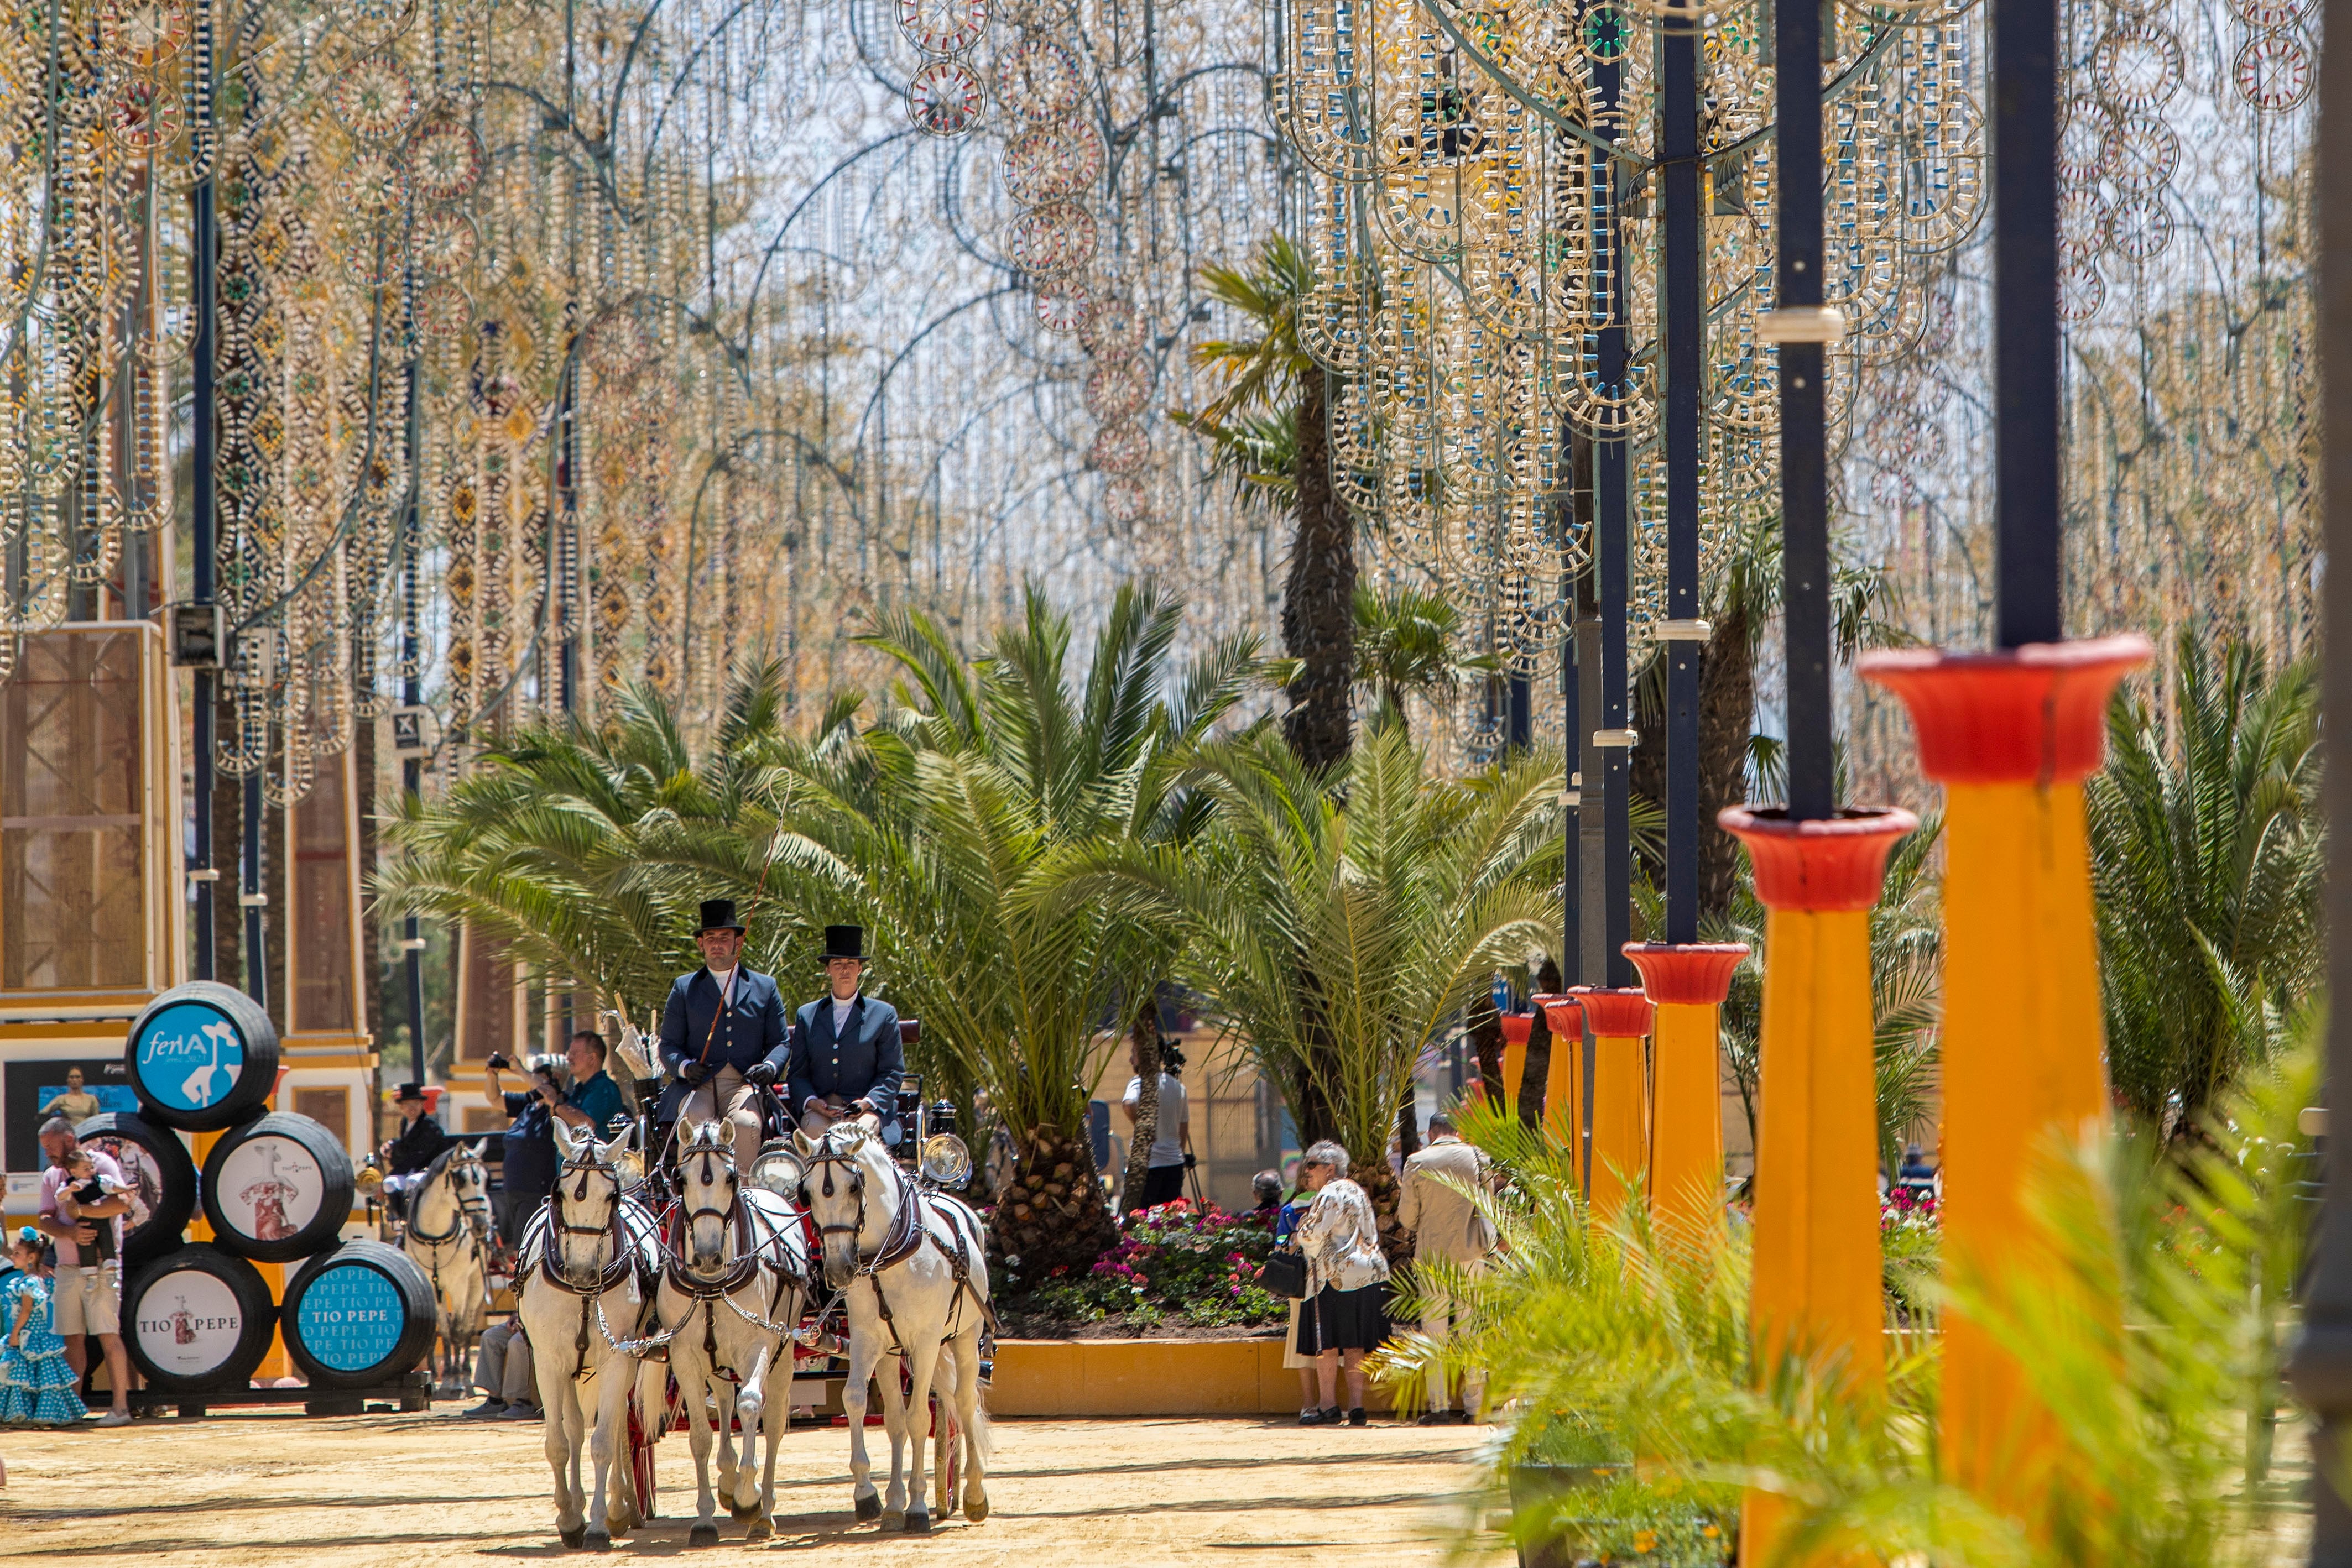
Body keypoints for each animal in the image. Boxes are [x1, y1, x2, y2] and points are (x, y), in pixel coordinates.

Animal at [402, 1142, 494, 1401]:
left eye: (486, 1179)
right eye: (460, 1179)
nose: (481, 1225)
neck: (435, 1237)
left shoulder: (460, 1284)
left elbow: (458, 1331)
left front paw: (457, 1381)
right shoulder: (433, 1285)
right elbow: (443, 1329)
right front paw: (442, 1380)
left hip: (477, 1282)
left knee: (468, 1326)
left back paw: (466, 1376)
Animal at [517, 1123, 663, 1551]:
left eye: (610, 1196)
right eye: (561, 1193)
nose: (582, 1272)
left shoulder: (618, 1358)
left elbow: (603, 1442)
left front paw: (599, 1523)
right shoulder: (548, 1363)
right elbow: (558, 1443)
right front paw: (569, 1519)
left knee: (614, 1429)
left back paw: (619, 1506)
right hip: (571, 1369)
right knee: (575, 1429)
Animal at [654, 1123, 809, 1551]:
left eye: (729, 1179)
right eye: (681, 1179)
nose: (707, 1256)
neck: (711, 1285)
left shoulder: (758, 1347)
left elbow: (751, 1406)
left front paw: (747, 1499)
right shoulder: (685, 1356)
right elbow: (700, 1436)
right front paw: (706, 1517)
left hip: (783, 1352)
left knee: (772, 1422)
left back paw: (764, 1510)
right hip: (716, 1361)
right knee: (723, 1401)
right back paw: (726, 1478)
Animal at [800, 1114, 992, 1533]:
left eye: (854, 1186)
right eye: (806, 1193)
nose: (838, 1270)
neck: (886, 1255)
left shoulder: (926, 1342)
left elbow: (921, 1418)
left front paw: (918, 1506)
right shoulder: (866, 1340)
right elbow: (857, 1401)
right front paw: (870, 1496)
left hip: (964, 1338)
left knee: (964, 1403)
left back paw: (973, 1494)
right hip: (891, 1354)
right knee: (895, 1420)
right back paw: (894, 1501)